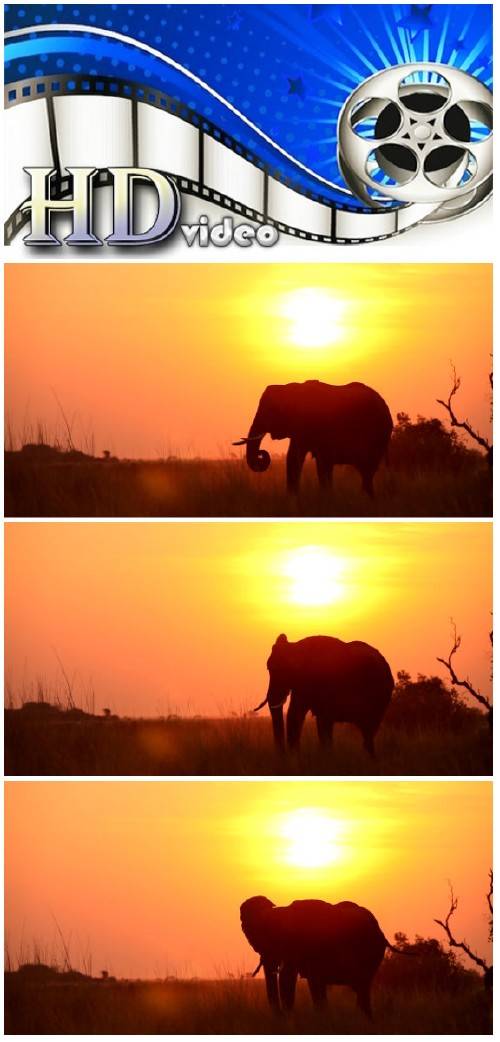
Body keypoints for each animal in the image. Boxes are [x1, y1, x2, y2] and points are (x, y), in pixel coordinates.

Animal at [232, 381, 391, 493]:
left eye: (269, 410)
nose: (261, 454)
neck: (291, 388)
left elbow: (299, 458)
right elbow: (297, 459)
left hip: (377, 434)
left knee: (367, 469)